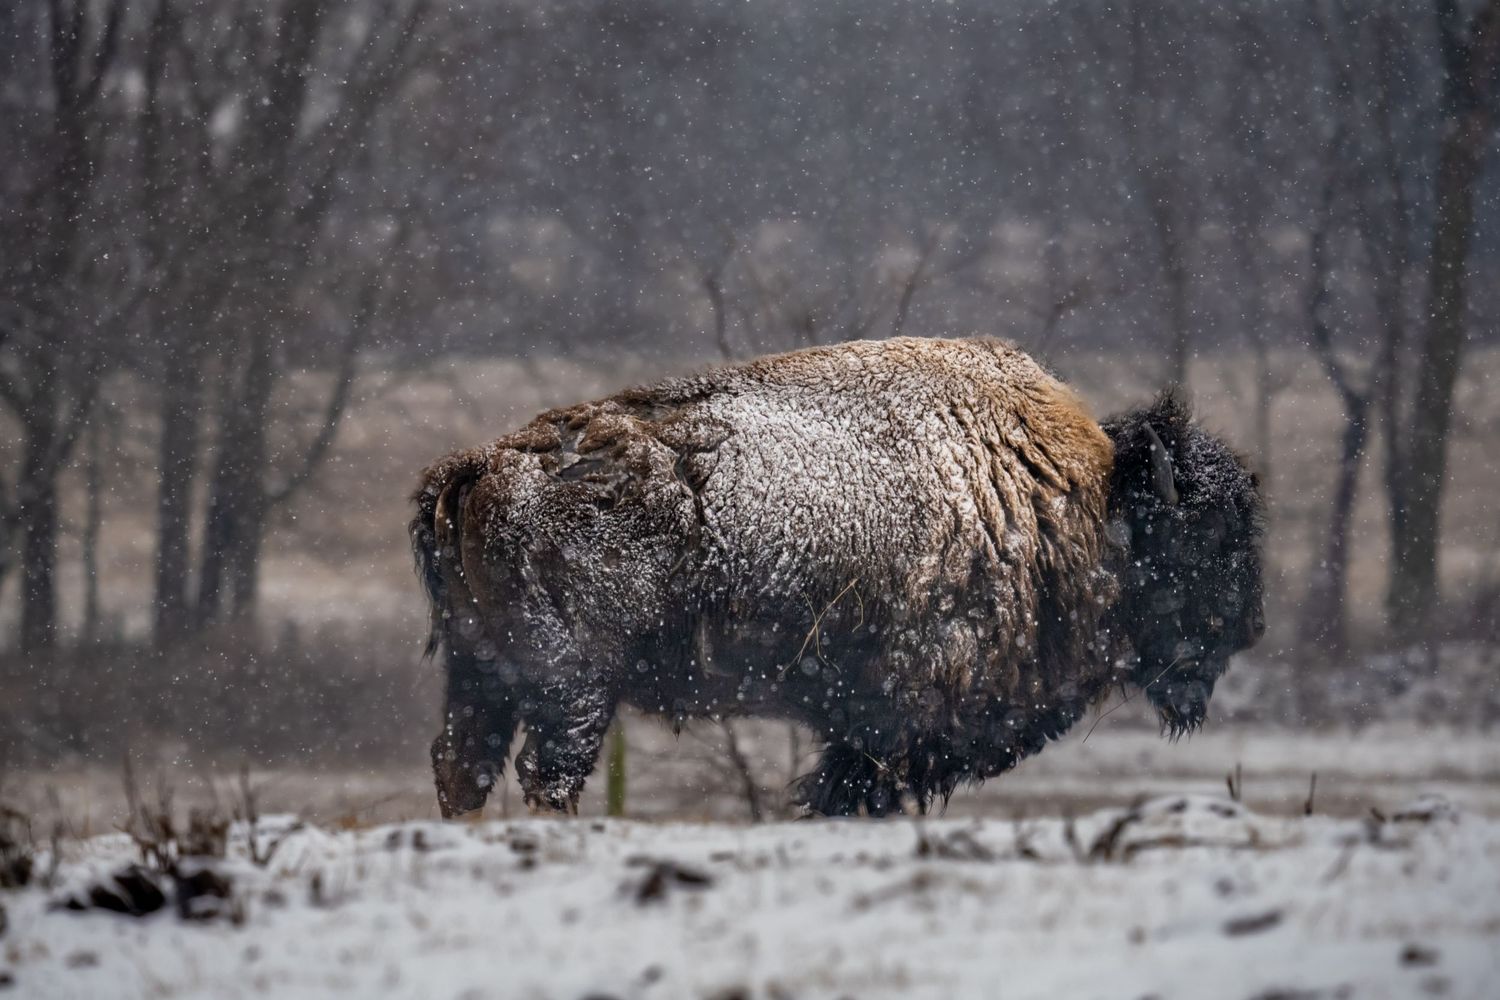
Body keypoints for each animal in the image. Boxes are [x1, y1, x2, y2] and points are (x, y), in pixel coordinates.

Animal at [412, 337, 1265, 817]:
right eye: (1210, 537)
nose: (1248, 630)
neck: (1080, 498)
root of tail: (479, 464)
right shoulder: (895, 723)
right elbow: (853, 792)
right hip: (573, 689)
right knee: (544, 776)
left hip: (480, 671)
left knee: (464, 767)